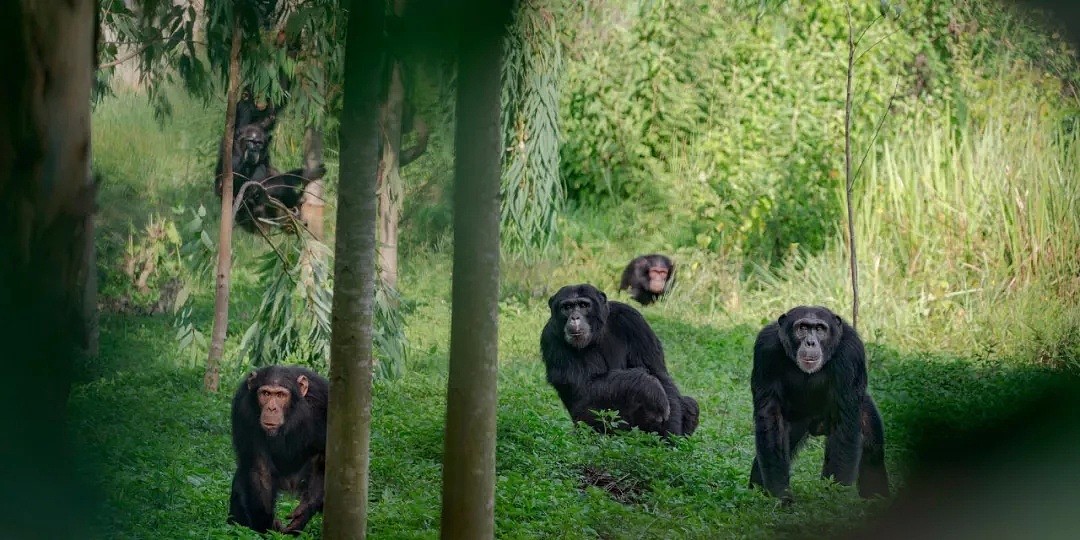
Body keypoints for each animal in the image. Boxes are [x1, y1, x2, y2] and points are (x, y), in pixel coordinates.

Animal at [228, 365, 326, 533]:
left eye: (280, 395)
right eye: (266, 394)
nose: (271, 408)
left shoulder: (324, 402)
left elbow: (323, 456)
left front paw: (305, 510)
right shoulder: (244, 409)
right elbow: (261, 468)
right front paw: (267, 525)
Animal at [540, 285, 699, 436]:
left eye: (584, 305)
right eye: (567, 307)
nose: (575, 317)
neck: (597, 334)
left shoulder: (633, 320)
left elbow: (659, 373)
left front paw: (671, 435)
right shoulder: (550, 337)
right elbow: (582, 390)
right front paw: (650, 386)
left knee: (691, 404)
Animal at [747, 306, 889, 503]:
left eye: (820, 329)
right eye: (802, 328)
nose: (810, 342)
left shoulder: (851, 353)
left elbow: (844, 426)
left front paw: (833, 500)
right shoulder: (765, 349)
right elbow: (770, 416)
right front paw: (780, 495)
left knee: (872, 451)